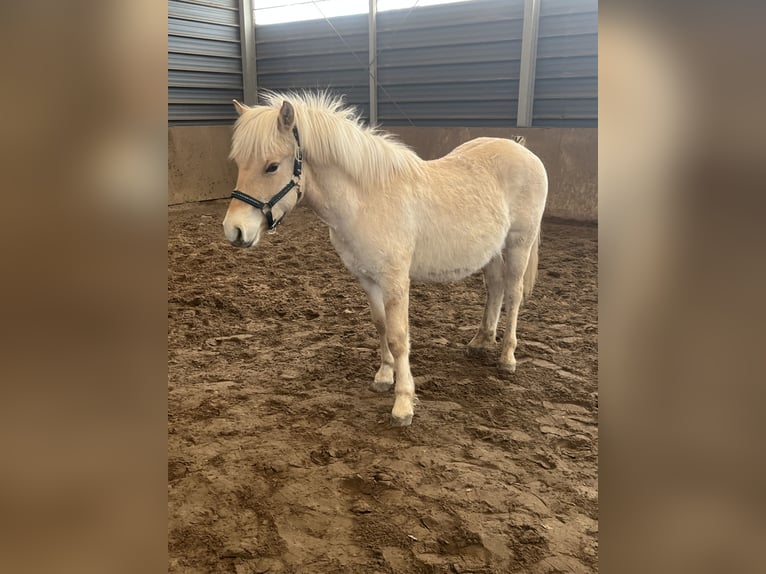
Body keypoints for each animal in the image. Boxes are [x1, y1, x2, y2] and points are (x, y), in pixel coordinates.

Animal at [223, 92, 548, 426]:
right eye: (238, 163)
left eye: (272, 166)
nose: (234, 230)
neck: (367, 200)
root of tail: (523, 150)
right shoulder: (367, 278)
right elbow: (380, 326)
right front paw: (383, 376)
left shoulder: (395, 281)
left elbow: (398, 336)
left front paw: (403, 403)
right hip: (493, 251)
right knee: (494, 289)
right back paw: (481, 341)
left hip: (518, 244)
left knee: (514, 293)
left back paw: (507, 357)